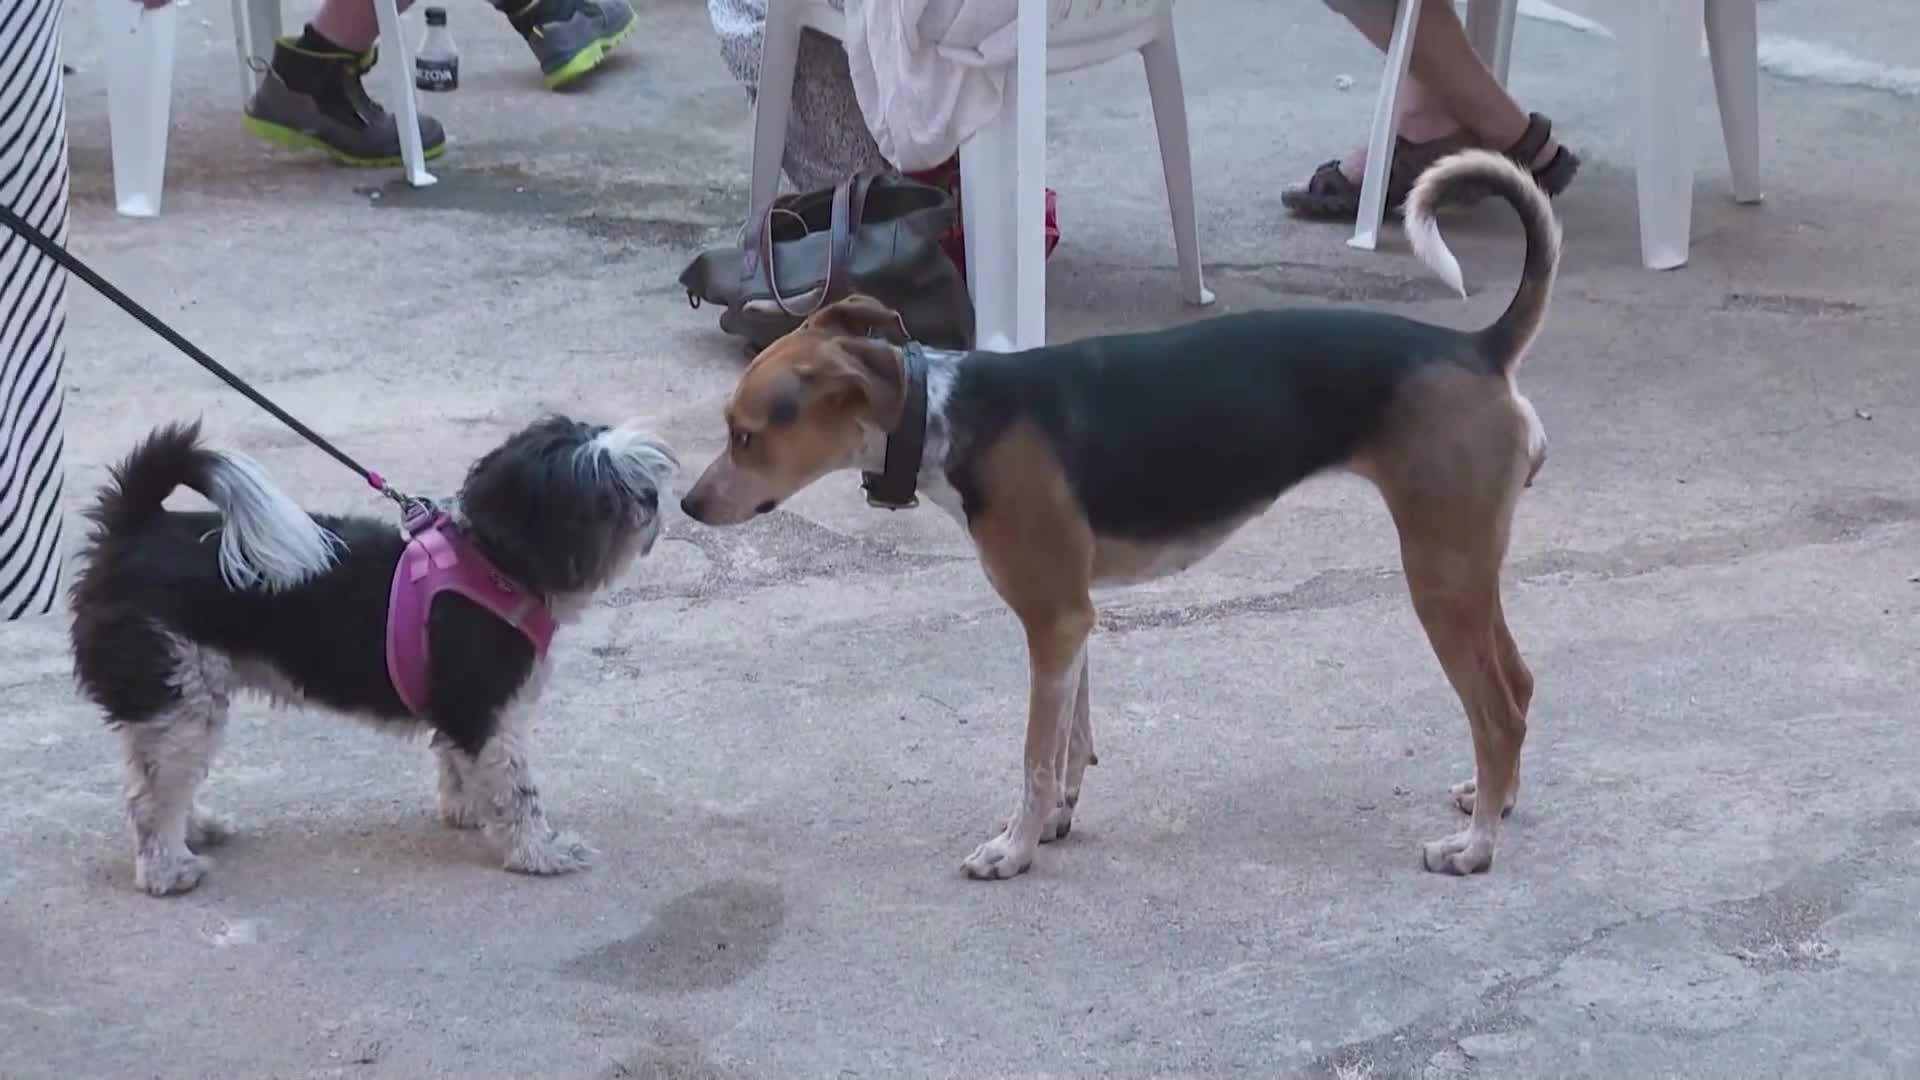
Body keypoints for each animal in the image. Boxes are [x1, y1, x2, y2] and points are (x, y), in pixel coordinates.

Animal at [69, 411, 683, 891]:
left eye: (636, 475)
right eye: (604, 491)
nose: (652, 497)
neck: (494, 562)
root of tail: (135, 528)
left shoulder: (458, 711)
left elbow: (456, 763)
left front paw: (464, 809)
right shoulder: (487, 713)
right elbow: (517, 792)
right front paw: (540, 851)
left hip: (174, 703)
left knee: (153, 773)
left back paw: (195, 828)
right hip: (182, 696)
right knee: (150, 797)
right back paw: (168, 869)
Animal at [683, 148, 1551, 876]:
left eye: (745, 435)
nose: (686, 503)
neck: (948, 414)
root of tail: (1479, 349)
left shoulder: (1052, 619)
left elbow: (1034, 755)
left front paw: (1014, 849)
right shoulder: (1074, 620)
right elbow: (1073, 736)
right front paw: (1058, 819)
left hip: (1438, 577)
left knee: (1499, 714)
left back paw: (1476, 849)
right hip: (1467, 568)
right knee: (1520, 683)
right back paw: (1495, 800)